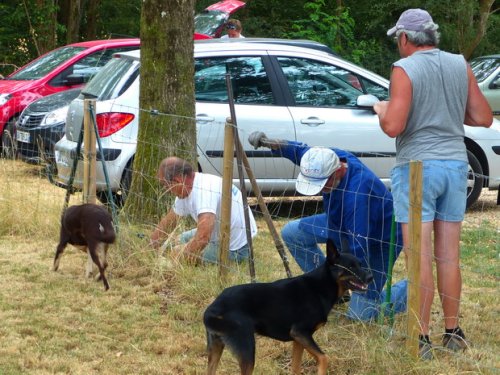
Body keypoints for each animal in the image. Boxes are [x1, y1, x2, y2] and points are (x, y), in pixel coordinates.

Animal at [202, 239, 372, 374]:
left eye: (360, 264)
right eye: (350, 267)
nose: (371, 277)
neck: (322, 285)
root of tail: (212, 309)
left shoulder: (299, 339)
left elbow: (296, 367)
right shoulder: (301, 333)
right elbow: (324, 358)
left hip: (216, 347)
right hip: (247, 350)